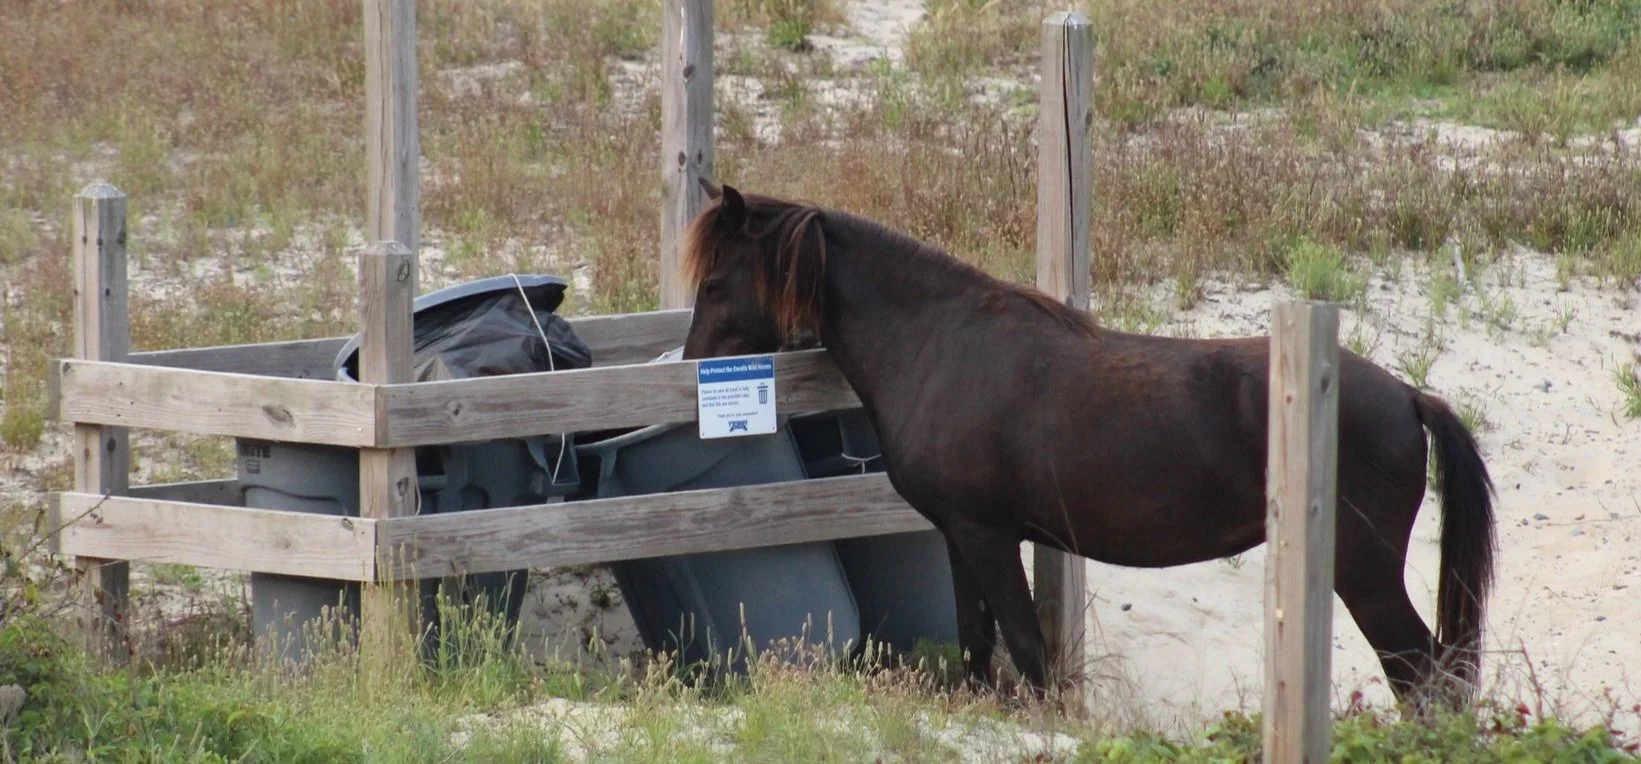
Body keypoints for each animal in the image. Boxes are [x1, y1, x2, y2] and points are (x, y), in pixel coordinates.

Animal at [675, 179, 1499, 712]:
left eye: (716, 284)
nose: (687, 368)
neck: (938, 345)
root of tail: (1408, 396)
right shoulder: (959, 537)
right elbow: (976, 643)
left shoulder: (988, 534)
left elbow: (1025, 646)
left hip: (1364, 574)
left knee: (1421, 675)